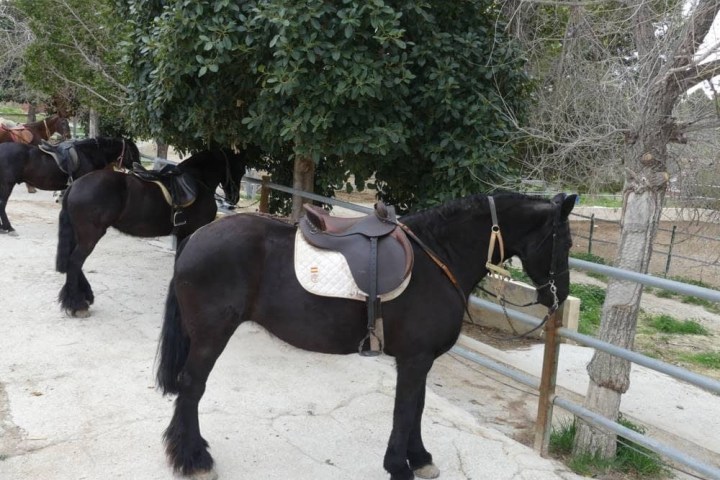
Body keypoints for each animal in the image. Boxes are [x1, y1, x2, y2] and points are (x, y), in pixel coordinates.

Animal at [0, 137, 140, 235]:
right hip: (7, 184)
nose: (138, 169)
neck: (88, 155)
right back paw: (9, 228)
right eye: (133, 152)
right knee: (2, 204)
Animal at [55, 148, 249, 317]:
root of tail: (74, 186)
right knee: (75, 262)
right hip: (90, 236)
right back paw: (78, 305)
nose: (234, 198)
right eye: (240, 168)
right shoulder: (190, 232)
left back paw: (84, 297)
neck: (198, 182)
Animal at [155, 192, 577, 480]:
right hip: (211, 336)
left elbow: (417, 407)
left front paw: (420, 459)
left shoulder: (420, 360)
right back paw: (194, 459)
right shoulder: (414, 359)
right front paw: (399, 466)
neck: (439, 257)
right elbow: (405, 410)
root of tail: (196, 238)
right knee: (192, 387)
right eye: (567, 243)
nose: (558, 297)